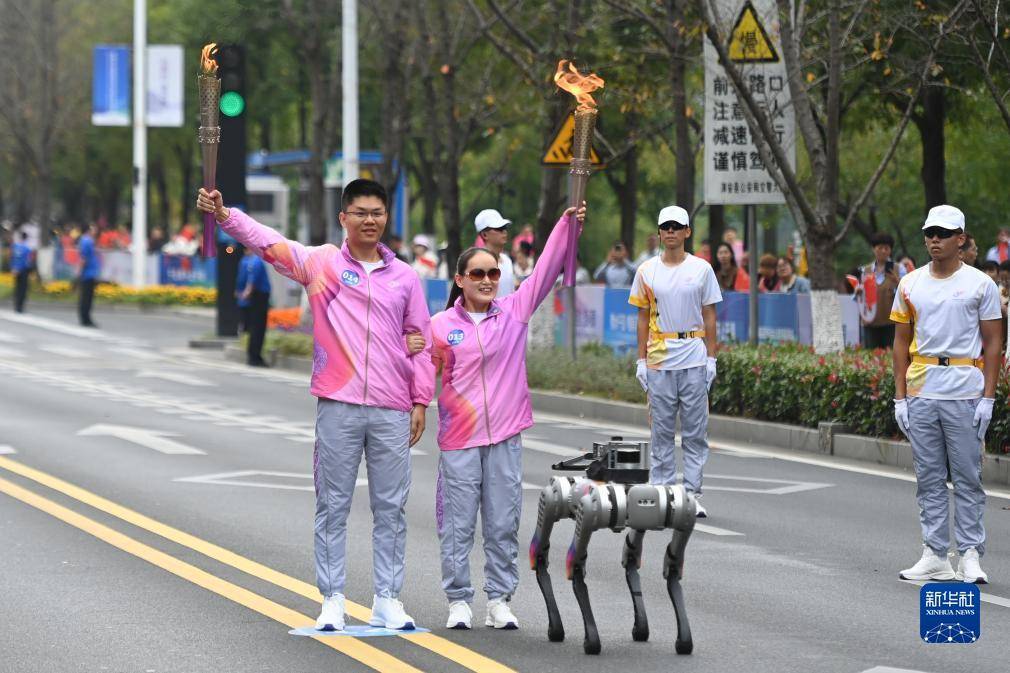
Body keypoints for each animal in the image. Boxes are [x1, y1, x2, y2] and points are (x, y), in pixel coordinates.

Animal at [529, 438, 694, 650]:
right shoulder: (589, 509)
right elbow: (575, 565)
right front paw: (590, 638)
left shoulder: (680, 511)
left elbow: (667, 563)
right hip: (560, 500)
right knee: (543, 541)